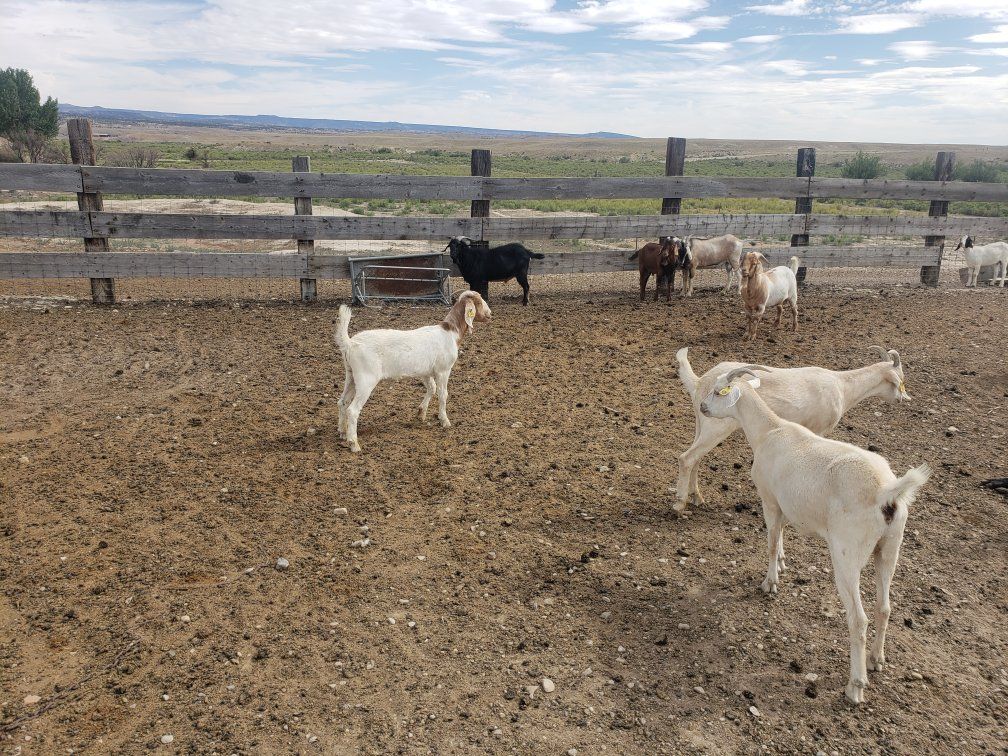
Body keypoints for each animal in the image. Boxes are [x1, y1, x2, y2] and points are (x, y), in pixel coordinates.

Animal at [334, 290, 491, 453]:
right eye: (479, 302)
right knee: (352, 410)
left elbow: (432, 388)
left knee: (342, 402)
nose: (490, 314)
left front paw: (421, 413)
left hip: (351, 375)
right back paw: (354, 444)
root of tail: (350, 343)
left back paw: (342, 432)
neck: (451, 332)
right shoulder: (443, 370)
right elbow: (443, 394)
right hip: (366, 378)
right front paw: (444, 421)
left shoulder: (426, 372)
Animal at [675, 346, 909, 514]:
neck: (842, 386)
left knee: (696, 458)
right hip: (716, 427)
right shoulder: (818, 429)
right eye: (901, 379)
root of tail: (699, 382)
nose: (902, 399)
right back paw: (680, 504)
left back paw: (697, 498)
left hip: (702, 424)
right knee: (687, 458)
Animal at [698, 365, 930, 704]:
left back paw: (855, 686)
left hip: (847, 555)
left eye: (718, 392)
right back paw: (877, 659)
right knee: (884, 607)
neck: (770, 430)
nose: (703, 407)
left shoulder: (769, 499)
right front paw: (783, 564)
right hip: (890, 547)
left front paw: (770, 582)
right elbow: (781, 536)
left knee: (858, 619)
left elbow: (771, 542)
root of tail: (887, 493)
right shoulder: (786, 504)